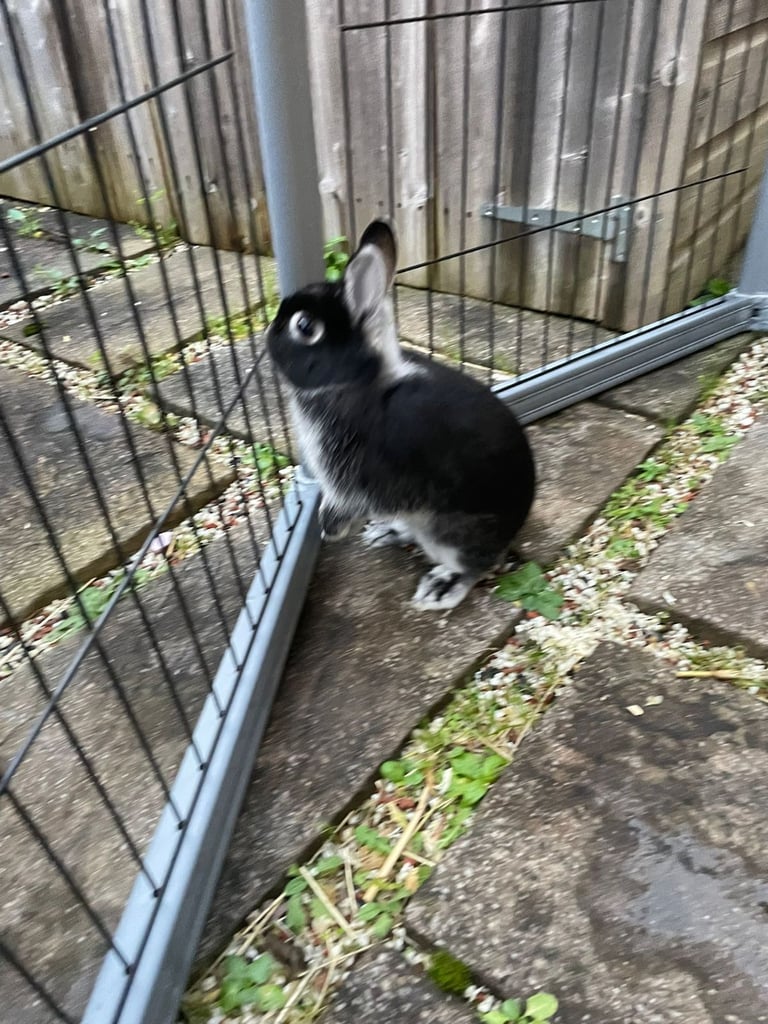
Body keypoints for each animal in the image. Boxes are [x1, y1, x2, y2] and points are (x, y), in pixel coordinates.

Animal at [266, 218, 536, 611]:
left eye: (303, 326)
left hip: (449, 533)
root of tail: (512, 533)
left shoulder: (358, 485)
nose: (267, 334)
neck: (356, 383)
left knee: (473, 567)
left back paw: (440, 588)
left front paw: (330, 528)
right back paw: (386, 533)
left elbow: (346, 505)